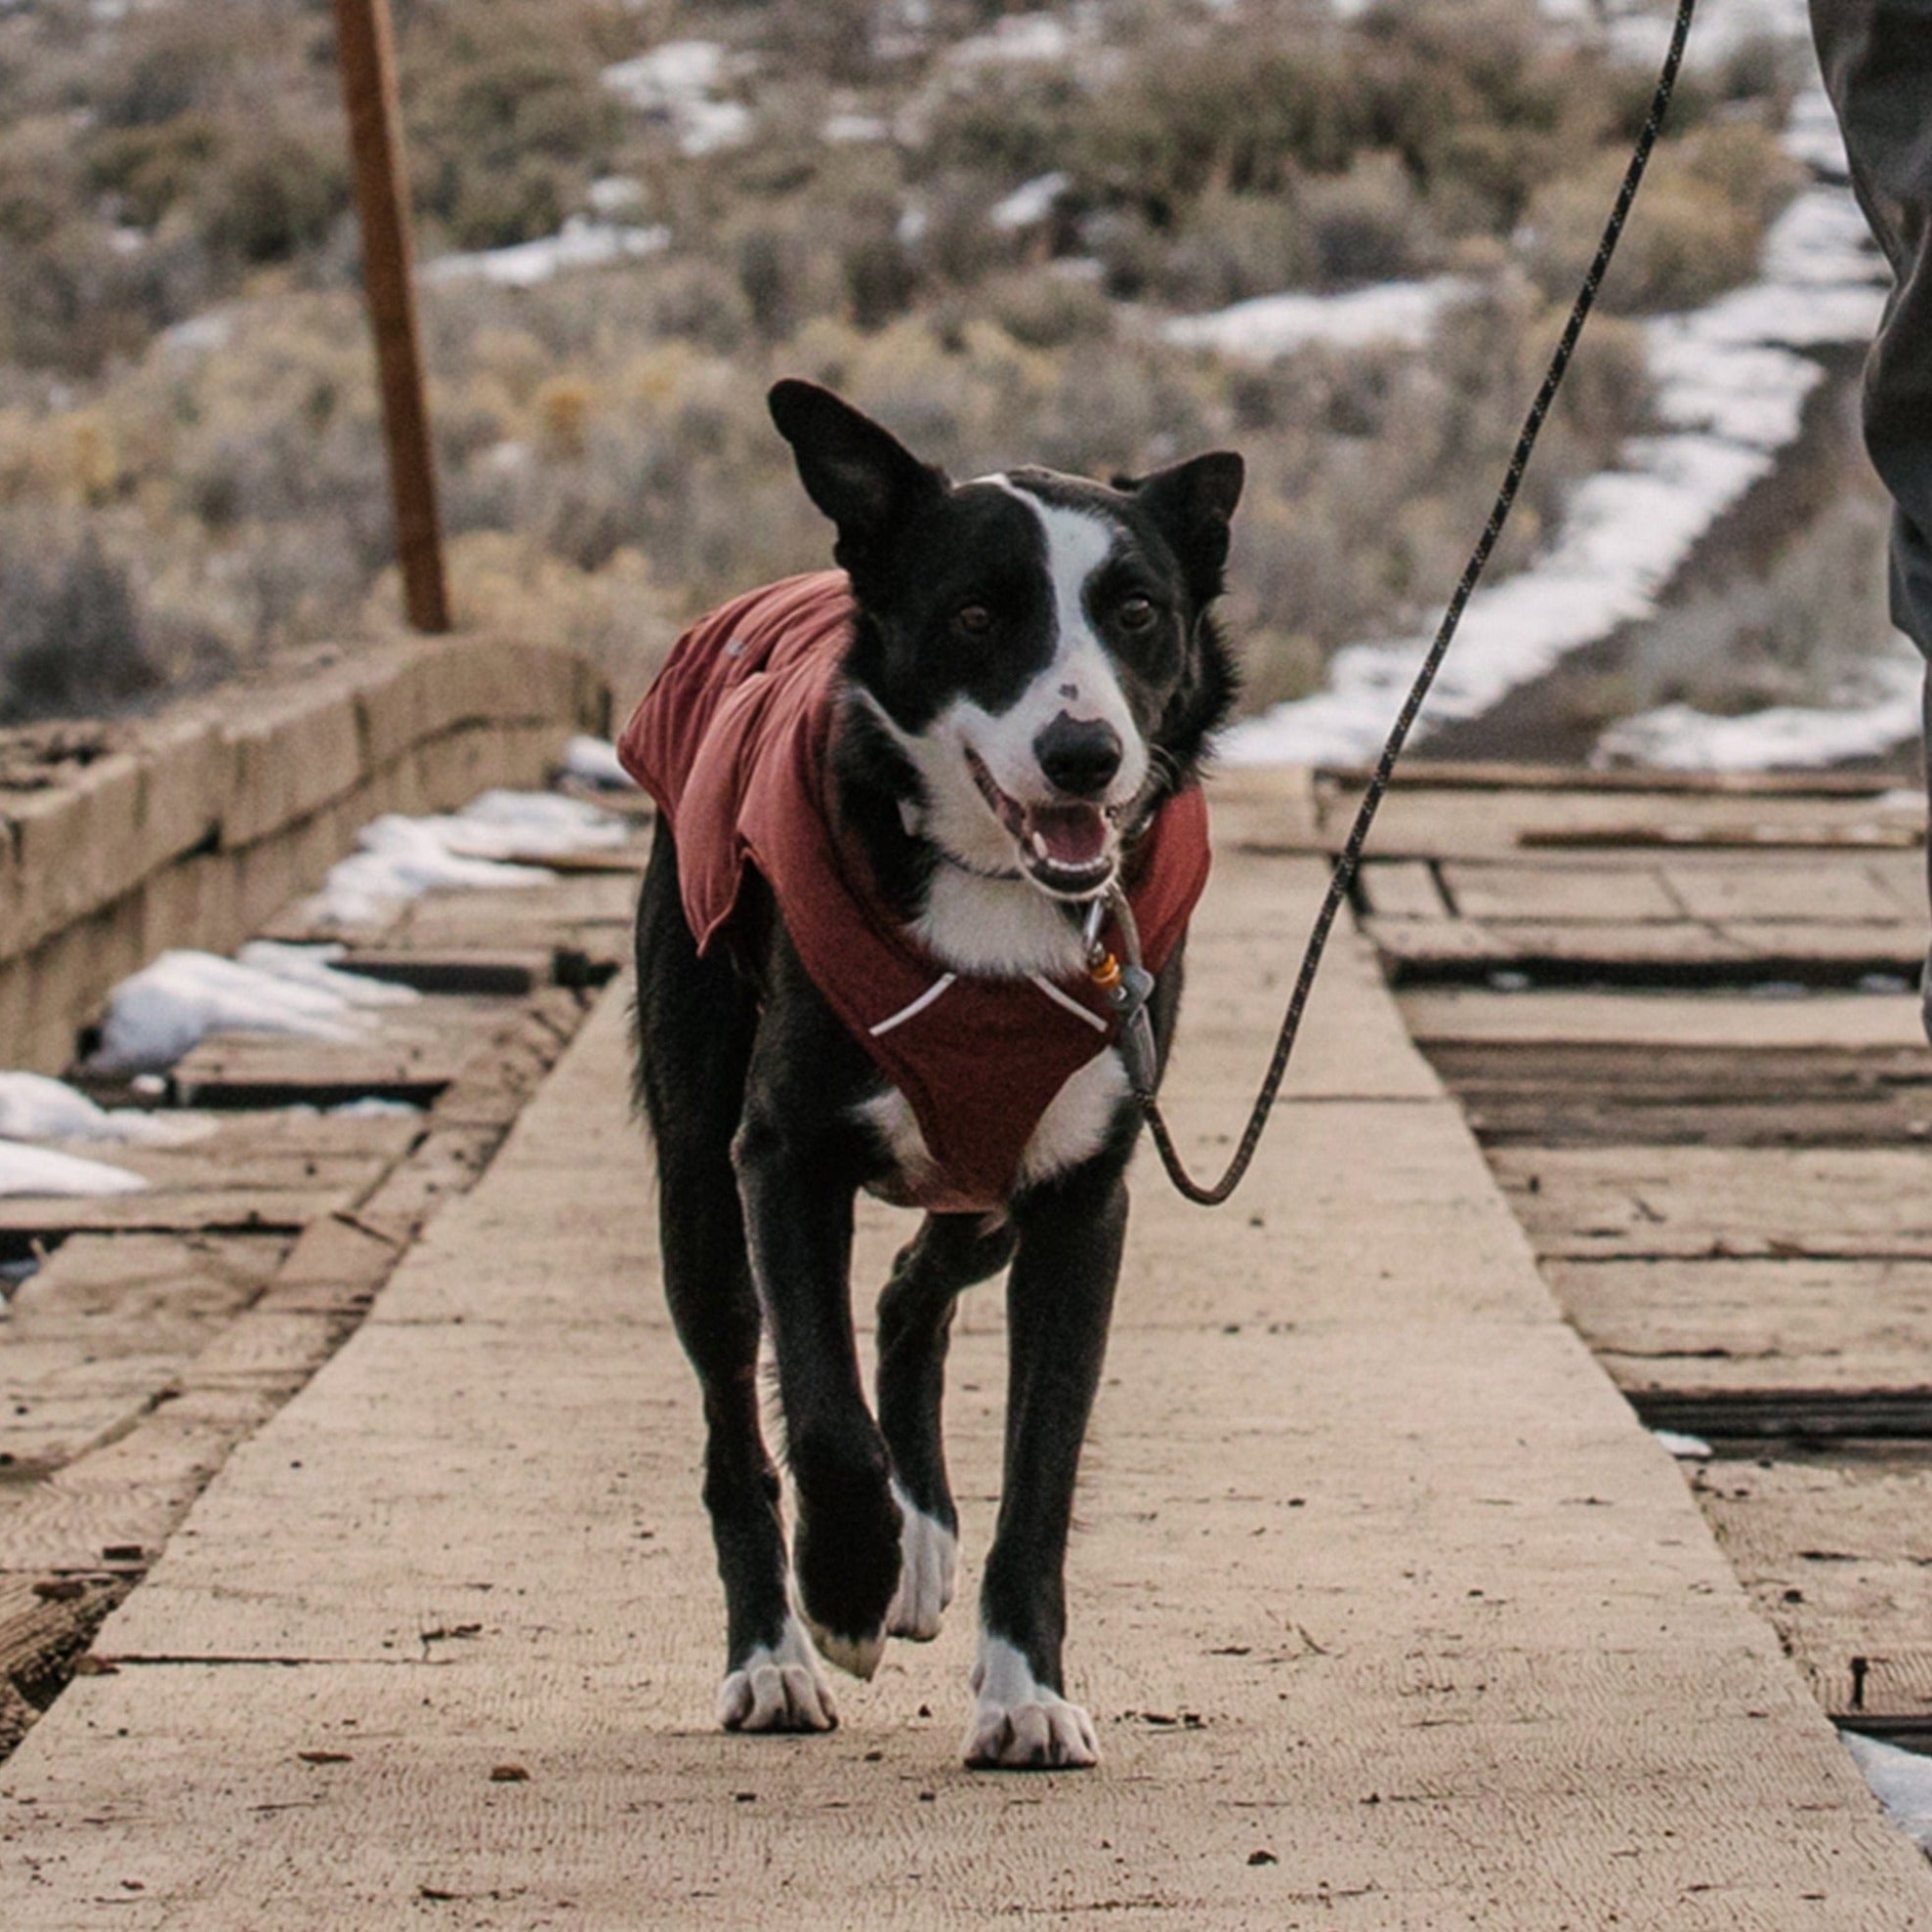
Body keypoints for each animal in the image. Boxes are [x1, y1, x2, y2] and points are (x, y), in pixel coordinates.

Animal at [629, 376, 1236, 1769]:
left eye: (1137, 611)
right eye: (974, 615)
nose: (1083, 756)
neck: (996, 896)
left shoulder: (1081, 1193)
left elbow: (1044, 1467)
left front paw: (1024, 1691)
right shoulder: (781, 1154)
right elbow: (820, 1412)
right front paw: (845, 1583)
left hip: (985, 1176)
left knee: (913, 1291)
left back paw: (923, 1543)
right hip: (697, 1175)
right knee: (735, 1422)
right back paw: (774, 1654)